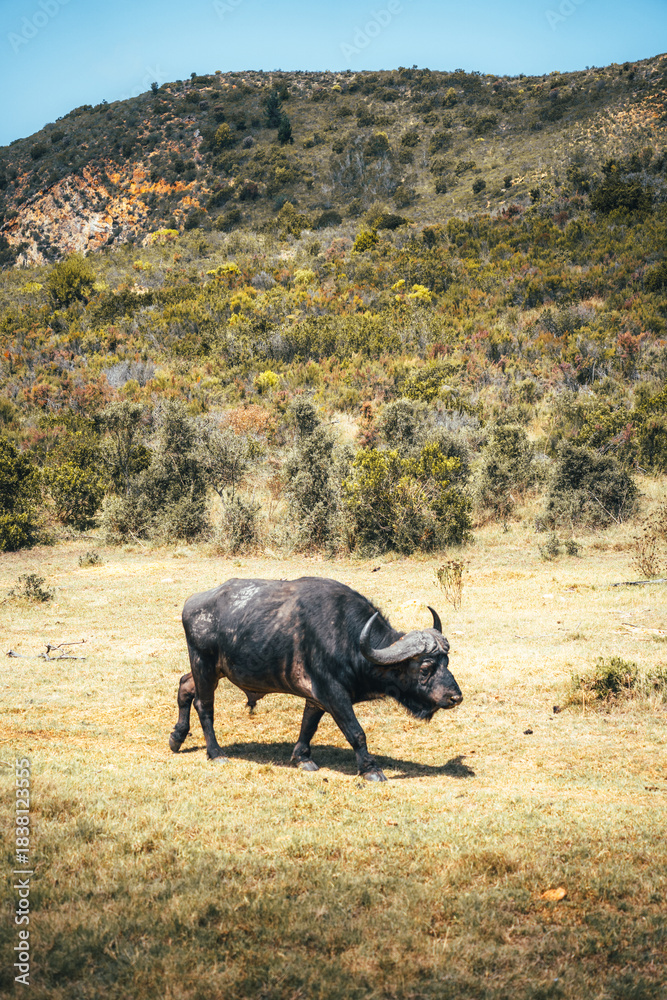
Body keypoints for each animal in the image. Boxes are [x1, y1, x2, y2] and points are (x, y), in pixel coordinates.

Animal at [170, 576, 462, 781]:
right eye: (425, 668)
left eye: (446, 662)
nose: (455, 697)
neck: (349, 640)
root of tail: (192, 604)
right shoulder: (334, 694)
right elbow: (356, 732)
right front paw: (370, 769)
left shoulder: (317, 697)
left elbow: (308, 725)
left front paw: (302, 758)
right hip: (204, 664)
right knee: (204, 706)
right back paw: (216, 753)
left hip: (214, 670)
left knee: (185, 685)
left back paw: (177, 737)